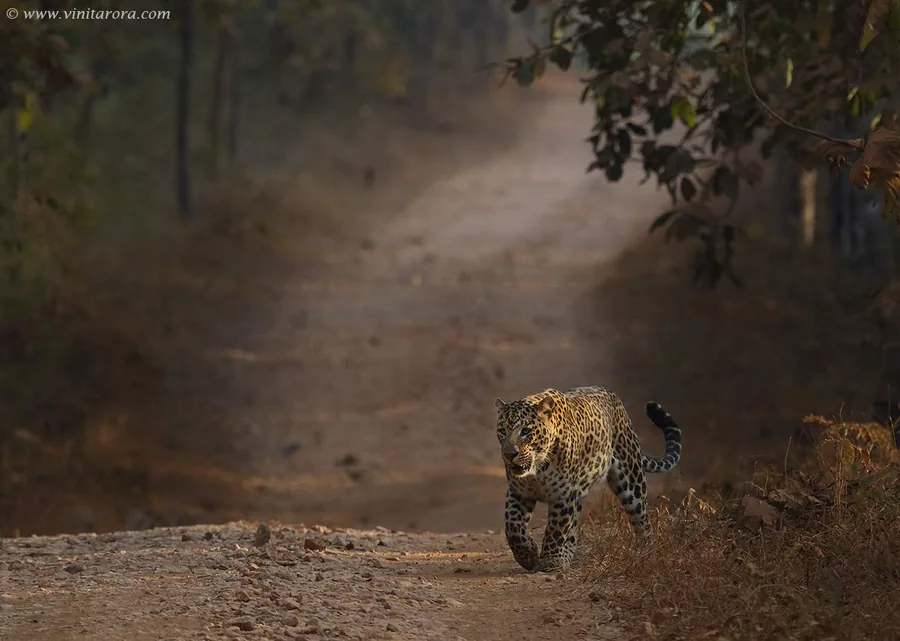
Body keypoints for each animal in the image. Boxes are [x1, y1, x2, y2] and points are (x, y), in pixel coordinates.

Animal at [494, 385, 682, 573]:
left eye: (525, 431)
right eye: (503, 431)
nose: (509, 455)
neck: (538, 467)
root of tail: (613, 397)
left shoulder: (564, 496)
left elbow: (556, 529)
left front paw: (550, 560)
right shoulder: (519, 493)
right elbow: (513, 529)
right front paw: (528, 556)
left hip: (631, 481)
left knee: (642, 519)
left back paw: (646, 551)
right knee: (573, 530)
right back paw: (565, 556)